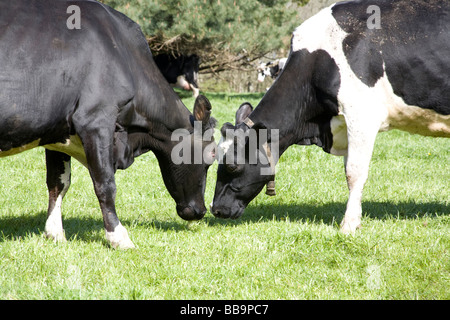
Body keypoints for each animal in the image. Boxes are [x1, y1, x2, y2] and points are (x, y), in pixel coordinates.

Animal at [0, 0, 218, 249]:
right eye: (211, 155)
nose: (201, 211)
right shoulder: (95, 120)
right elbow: (105, 184)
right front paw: (119, 237)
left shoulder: (57, 133)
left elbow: (58, 183)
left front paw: (55, 233)